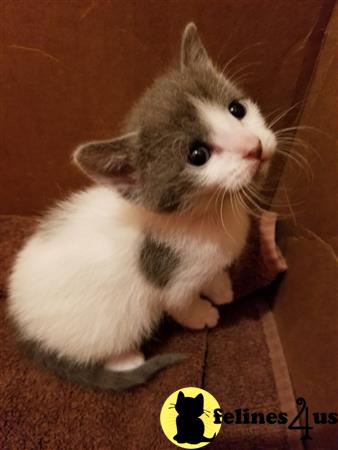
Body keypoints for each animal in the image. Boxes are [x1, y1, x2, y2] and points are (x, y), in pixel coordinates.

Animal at [7, 24, 278, 390]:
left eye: (237, 109)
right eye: (198, 155)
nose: (255, 146)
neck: (209, 215)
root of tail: (21, 326)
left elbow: (212, 275)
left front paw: (220, 286)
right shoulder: (173, 283)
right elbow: (182, 304)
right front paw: (204, 314)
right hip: (110, 324)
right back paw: (127, 359)